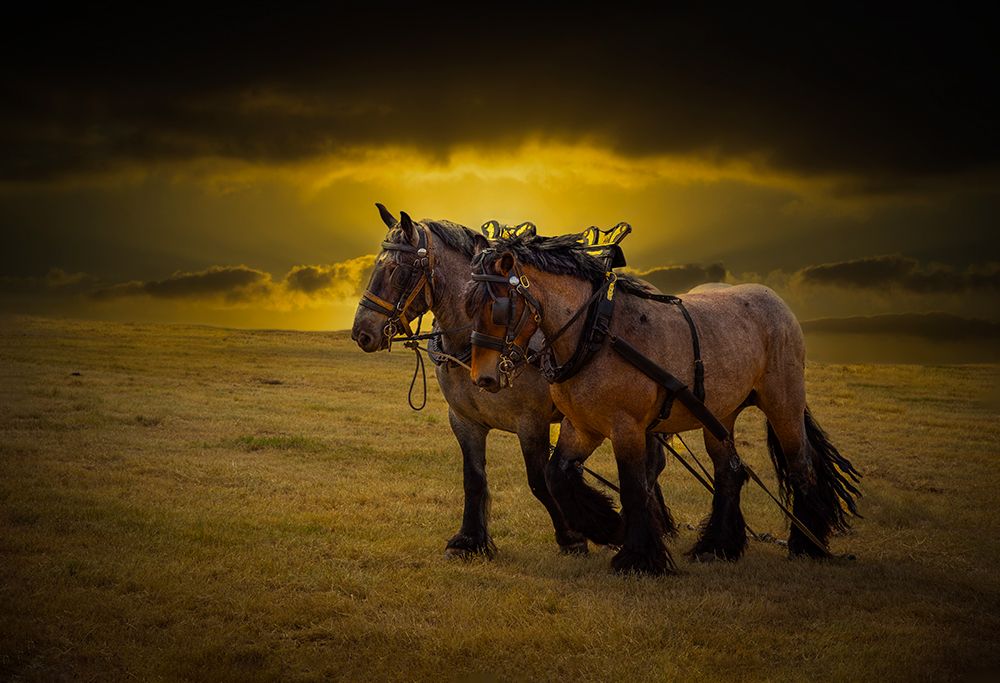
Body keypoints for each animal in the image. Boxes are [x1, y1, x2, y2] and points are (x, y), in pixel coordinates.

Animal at [351, 205, 675, 558]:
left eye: (396, 271)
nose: (361, 332)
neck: (475, 343)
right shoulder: (464, 420)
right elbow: (473, 478)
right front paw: (469, 539)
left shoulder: (531, 422)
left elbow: (539, 481)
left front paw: (572, 536)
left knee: (651, 465)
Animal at [464, 233, 861, 575]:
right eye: (469, 306)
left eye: (498, 308)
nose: (483, 378)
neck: (595, 332)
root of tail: (779, 303)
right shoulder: (582, 426)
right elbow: (557, 475)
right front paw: (609, 527)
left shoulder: (627, 426)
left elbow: (633, 486)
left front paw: (638, 558)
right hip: (720, 414)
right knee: (730, 471)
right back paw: (716, 546)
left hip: (784, 402)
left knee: (801, 466)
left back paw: (806, 544)